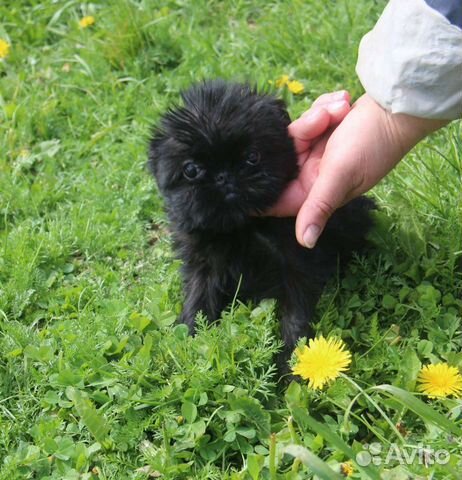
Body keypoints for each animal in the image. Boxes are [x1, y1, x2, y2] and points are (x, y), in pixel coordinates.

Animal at [150, 80, 374, 370]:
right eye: (191, 170)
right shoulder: (201, 263)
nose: (224, 176)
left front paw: (292, 363)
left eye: (252, 156)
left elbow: (295, 316)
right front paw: (190, 338)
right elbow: (198, 298)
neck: (239, 226)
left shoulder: (297, 263)